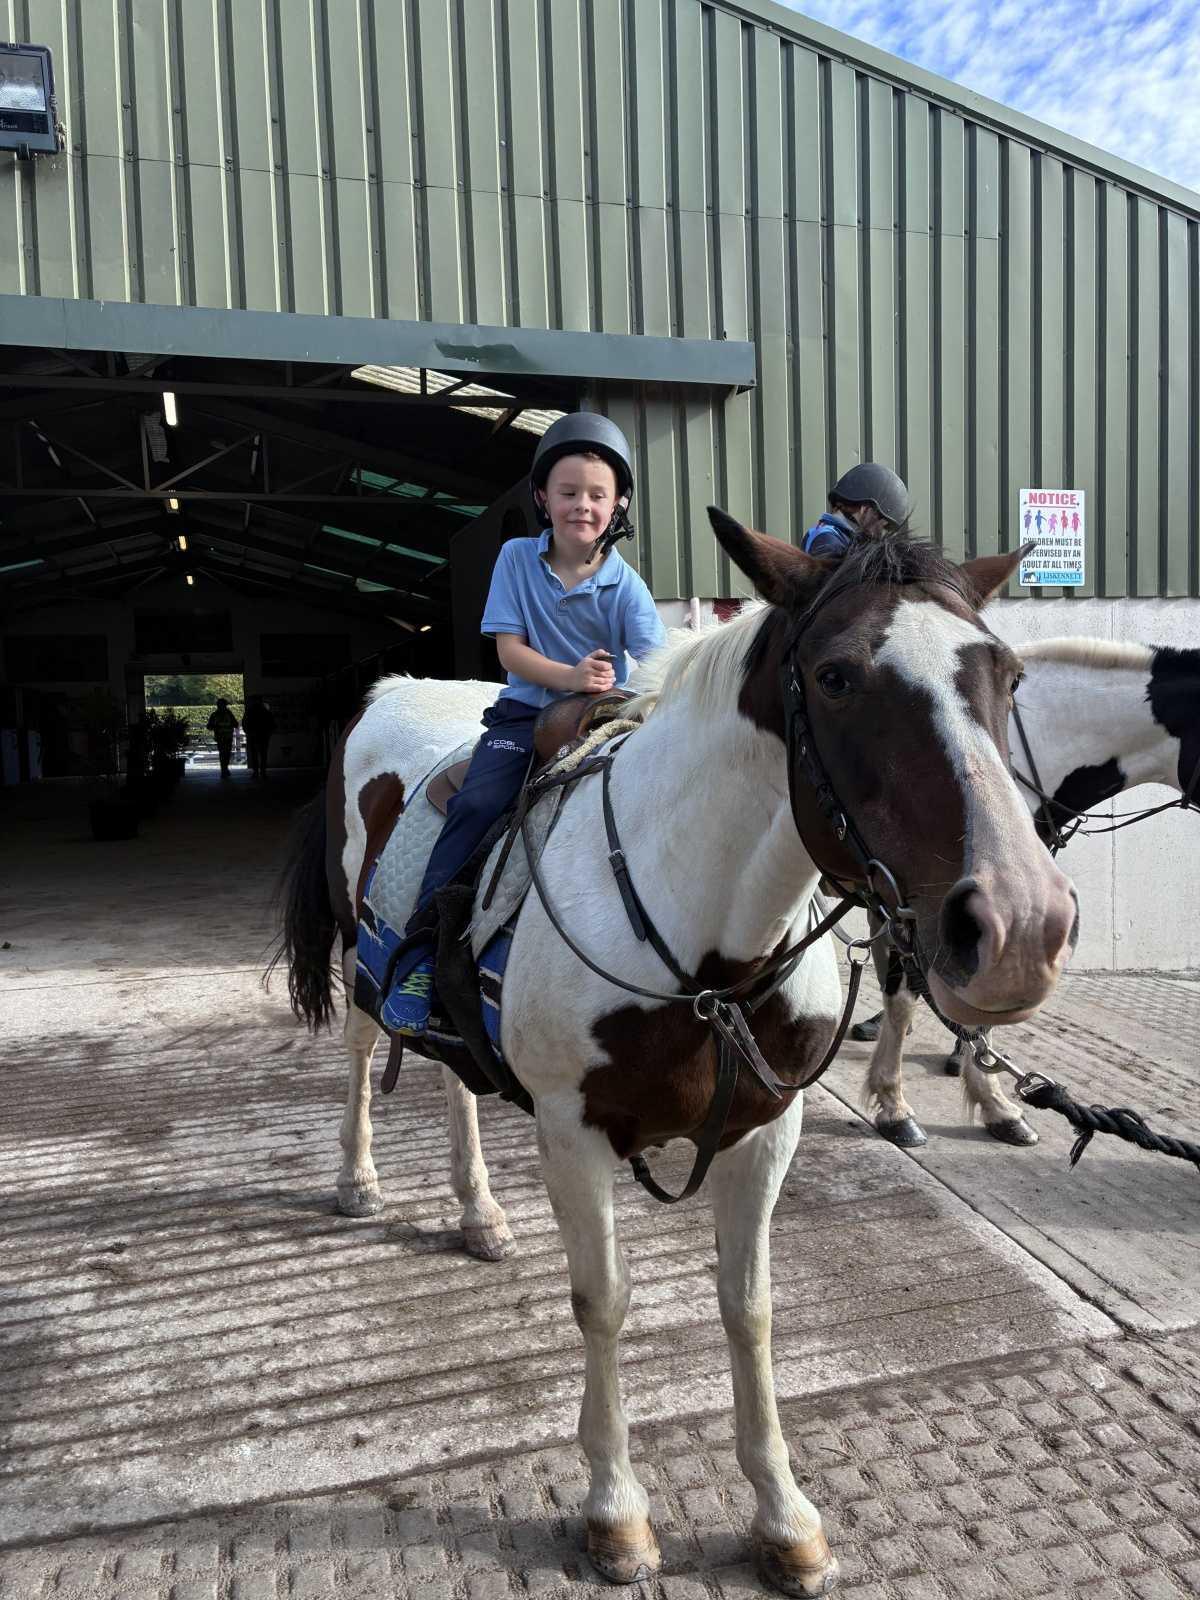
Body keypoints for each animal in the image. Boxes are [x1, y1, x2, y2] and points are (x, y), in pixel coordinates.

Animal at [277, 514, 1077, 1595]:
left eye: (1009, 674)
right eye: (835, 675)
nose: (1022, 926)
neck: (702, 941)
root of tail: (390, 690)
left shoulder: (765, 1131)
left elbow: (749, 1309)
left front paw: (785, 1518)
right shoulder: (574, 1133)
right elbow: (604, 1303)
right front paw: (617, 1513)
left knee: (456, 1084)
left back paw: (480, 1212)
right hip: (364, 962)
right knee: (366, 1054)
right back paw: (358, 1179)